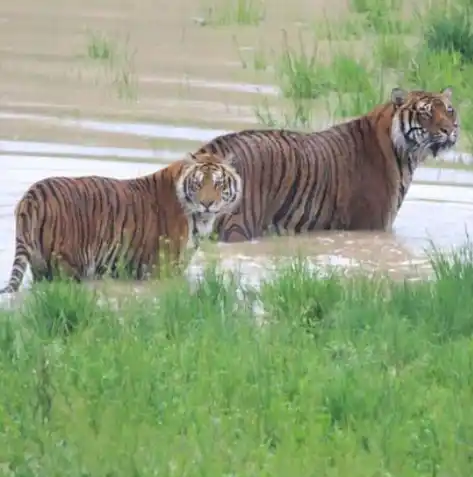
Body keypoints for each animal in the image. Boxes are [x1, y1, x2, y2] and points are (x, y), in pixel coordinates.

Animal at [0, 152, 242, 294]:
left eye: (219, 184)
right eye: (198, 184)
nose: (207, 203)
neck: (199, 217)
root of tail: (32, 195)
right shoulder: (162, 268)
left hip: (40, 266)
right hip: (67, 267)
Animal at [191, 85, 458, 242]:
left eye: (449, 110)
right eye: (426, 113)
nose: (450, 130)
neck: (406, 154)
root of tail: (213, 148)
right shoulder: (372, 224)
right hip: (238, 226)